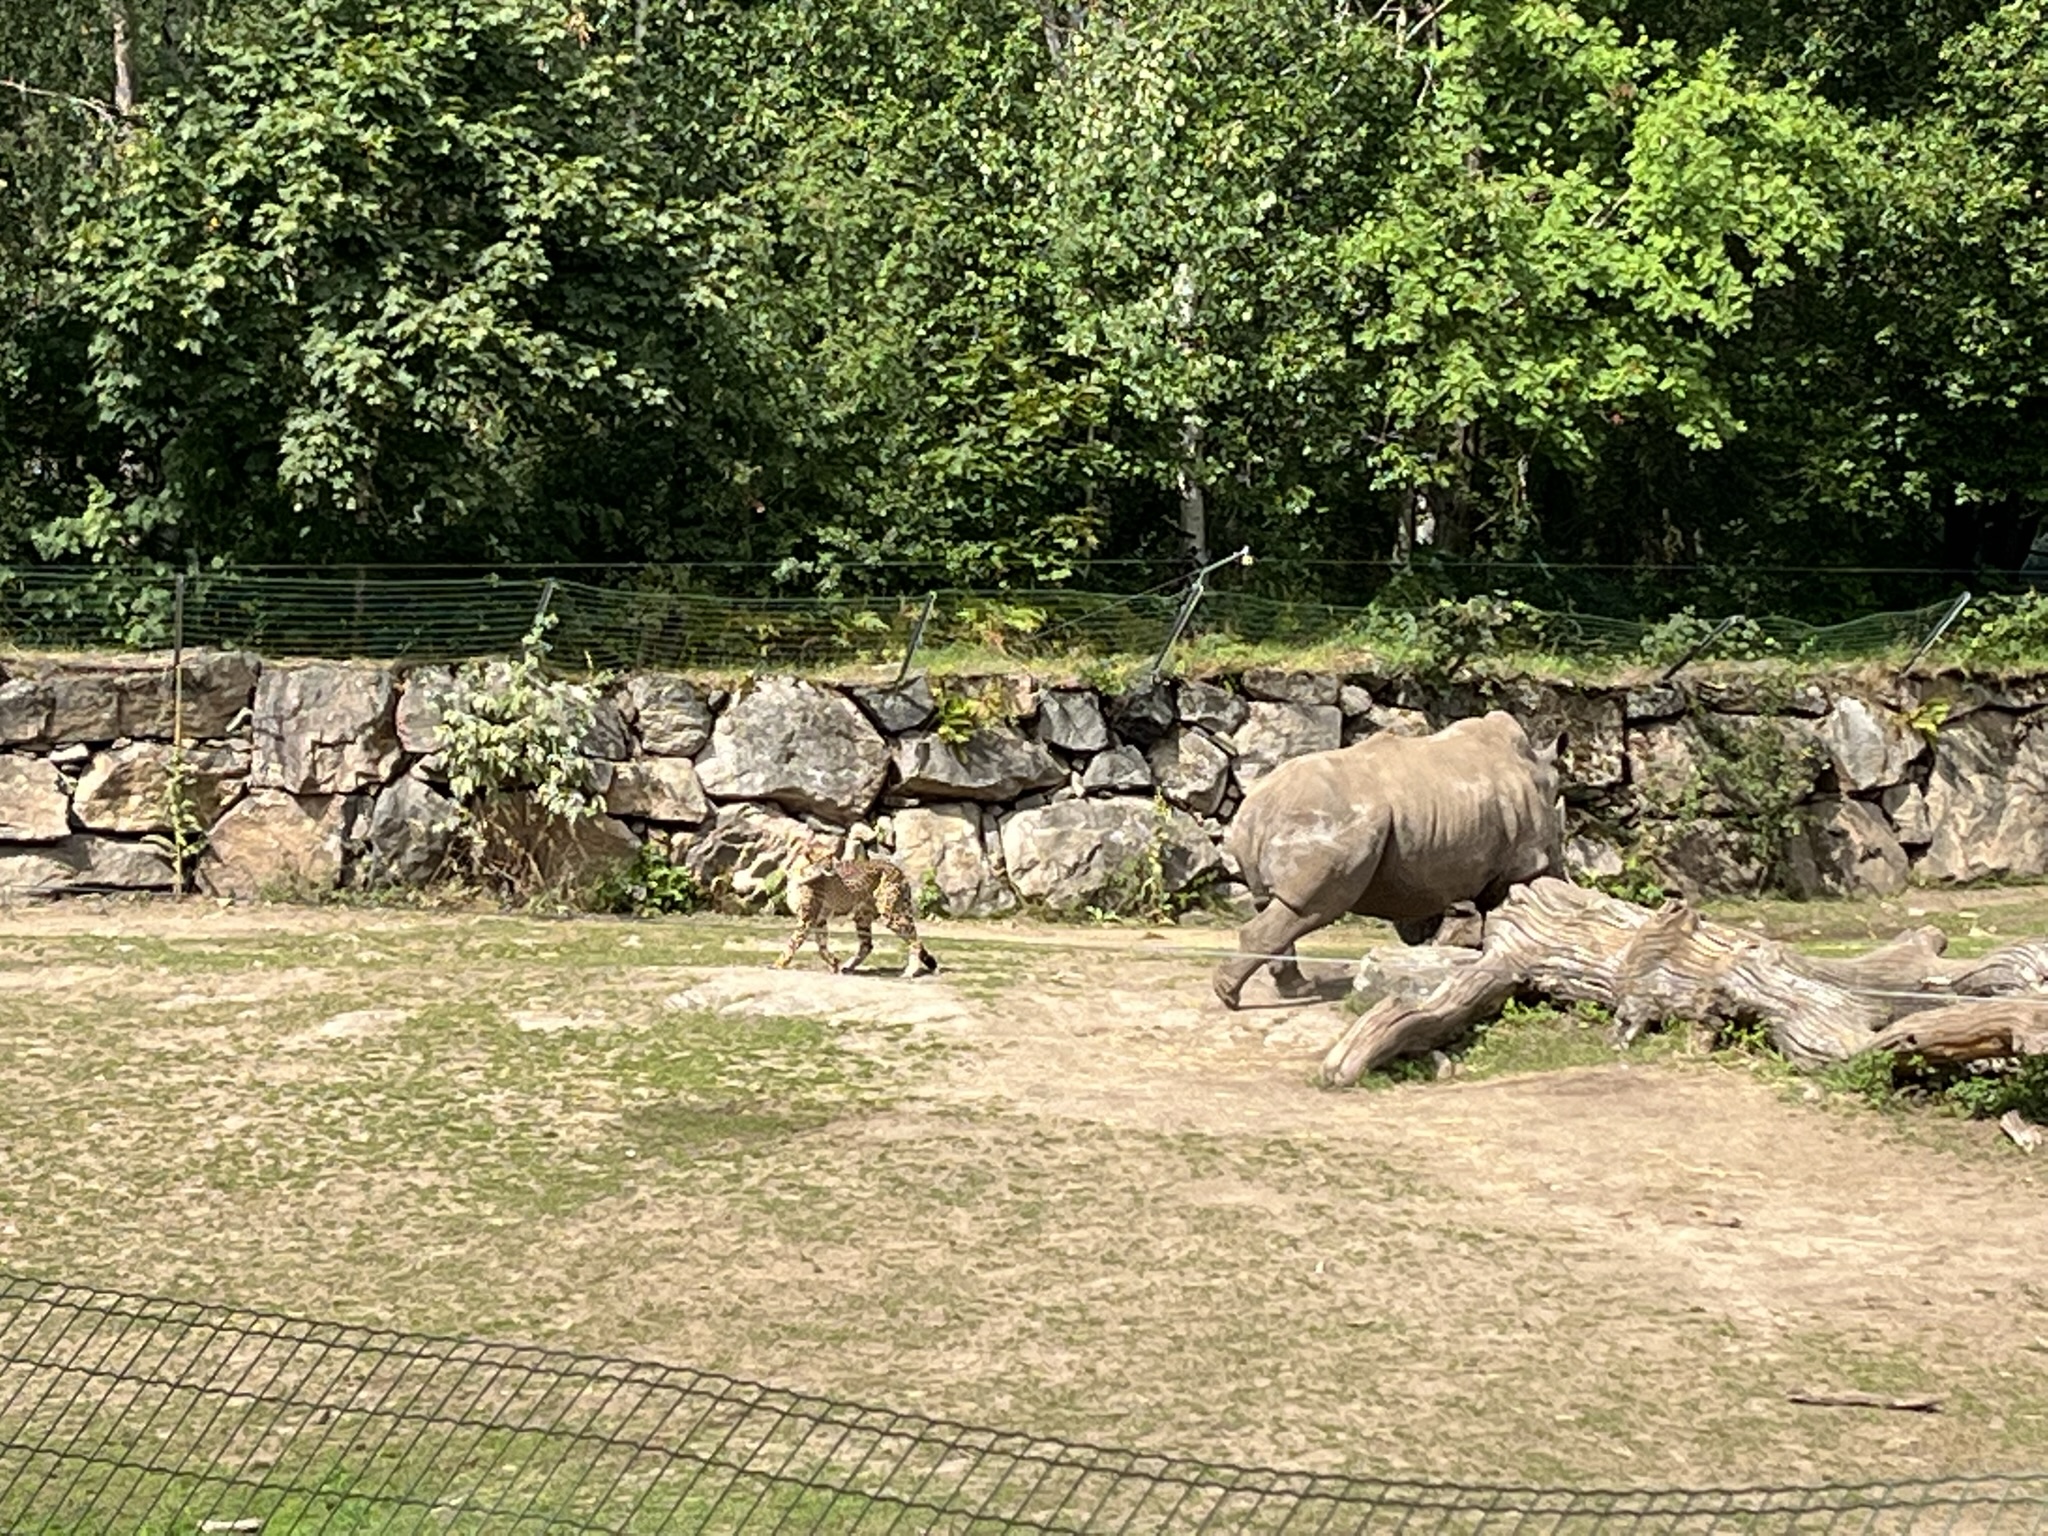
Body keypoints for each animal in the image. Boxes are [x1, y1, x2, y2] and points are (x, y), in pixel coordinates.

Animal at [775, 835, 939, 978]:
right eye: (827, 857)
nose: (834, 866)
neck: (802, 871)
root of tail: (896, 868)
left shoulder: (807, 919)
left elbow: (792, 943)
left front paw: (778, 964)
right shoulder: (819, 920)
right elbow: (821, 947)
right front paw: (834, 963)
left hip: (890, 914)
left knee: (916, 941)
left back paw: (910, 971)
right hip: (863, 916)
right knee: (867, 945)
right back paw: (848, 967)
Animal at [1213, 710, 1564, 1008]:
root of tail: (1258, 805)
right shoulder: (1521, 864)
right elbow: (1502, 920)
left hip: (1287, 821)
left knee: (1270, 902)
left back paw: (1292, 989)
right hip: (1330, 822)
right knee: (1312, 907)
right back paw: (1231, 997)